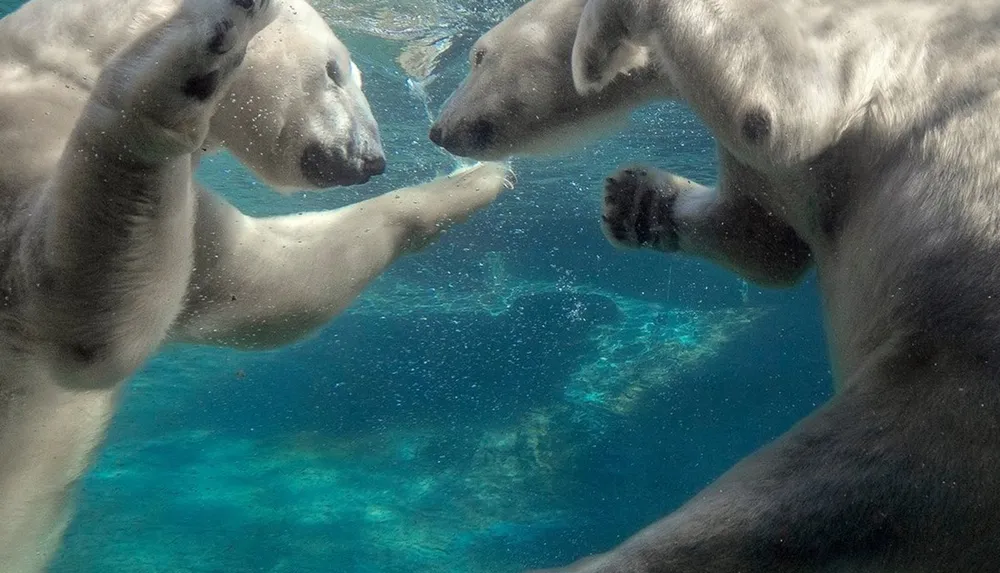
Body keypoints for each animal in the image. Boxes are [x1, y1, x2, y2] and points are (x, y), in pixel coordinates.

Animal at [0, 1, 516, 572]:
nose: (371, 160)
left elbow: (261, 282)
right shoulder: (25, 126)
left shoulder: (191, 221)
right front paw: (196, 52)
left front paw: (478, 176)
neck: (63, 62)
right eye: (335, 71)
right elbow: (75, 313)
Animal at [434, 1, 1000, 572]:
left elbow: (781, 112)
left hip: (941, 381)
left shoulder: (868, 44)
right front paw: (633, 202)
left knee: (806, 489)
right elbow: (765, 237)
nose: (437, 129)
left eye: (477, 55)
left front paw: (592, 50)